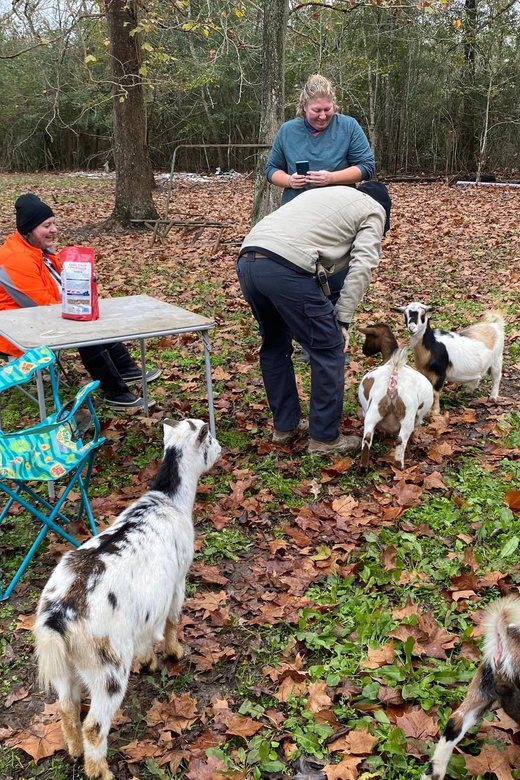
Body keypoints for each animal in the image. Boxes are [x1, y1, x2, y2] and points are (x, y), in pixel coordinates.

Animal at [34, 420, 221, 780]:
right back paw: (100, 771)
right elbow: (173, 619)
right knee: (94, 725)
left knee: (66, 706)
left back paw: (74, 750)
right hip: (108, 668)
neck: (168, 500)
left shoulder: (147, 604)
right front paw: (174, 654)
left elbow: (148, 634)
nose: (220, 448)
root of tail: (58, 616)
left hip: (64, 665)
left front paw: (148, 661)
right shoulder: (176, 582)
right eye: (209, 439)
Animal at [358, 322, 434, 470]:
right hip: (408, 416)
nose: (364, 350)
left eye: (368, 338)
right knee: (401, 440)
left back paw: (363, 467)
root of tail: (393, 383)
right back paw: (400, 465)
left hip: (373, 411)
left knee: (367, 438)